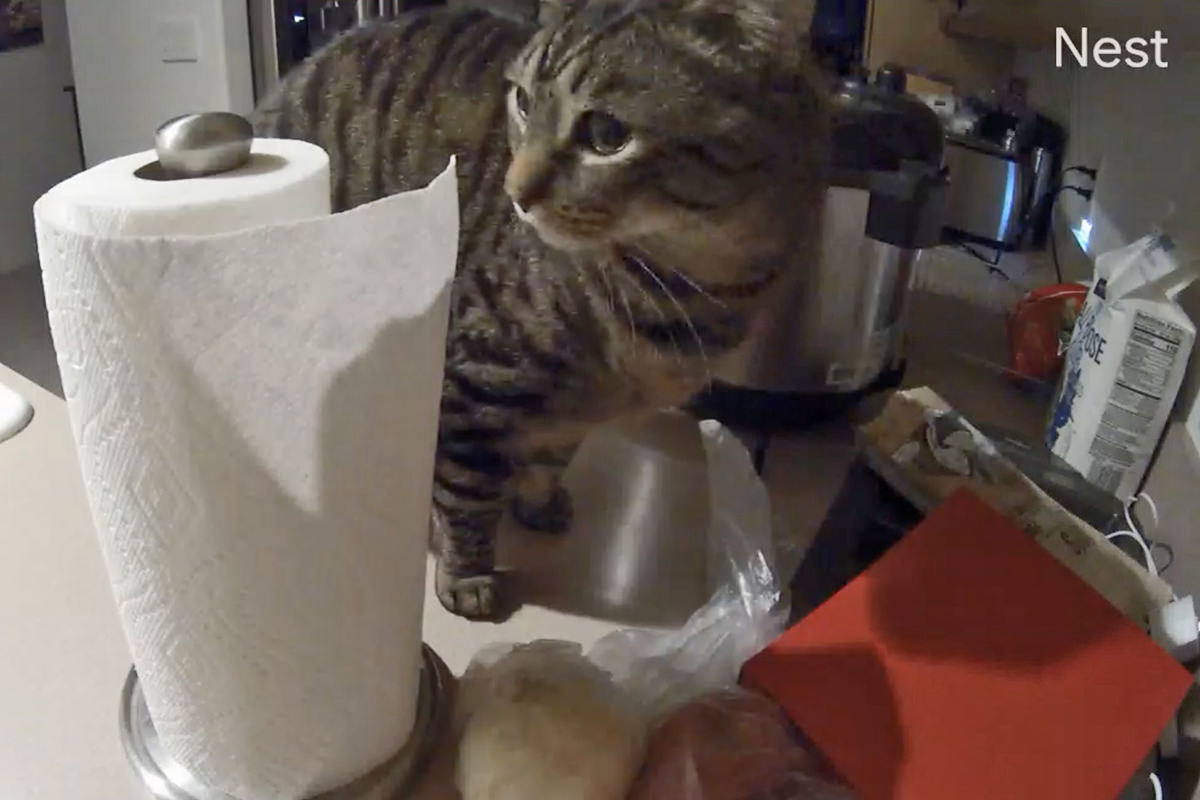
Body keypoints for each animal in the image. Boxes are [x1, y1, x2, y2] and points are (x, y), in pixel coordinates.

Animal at [255, 0, 825, 618]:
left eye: (607, 134)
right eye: (524, 102)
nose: (515, 192)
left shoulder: (571, 411)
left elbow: (551, 457)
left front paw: (538, 500)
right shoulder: (470, 378)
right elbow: (468, 494)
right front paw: (468, 576)